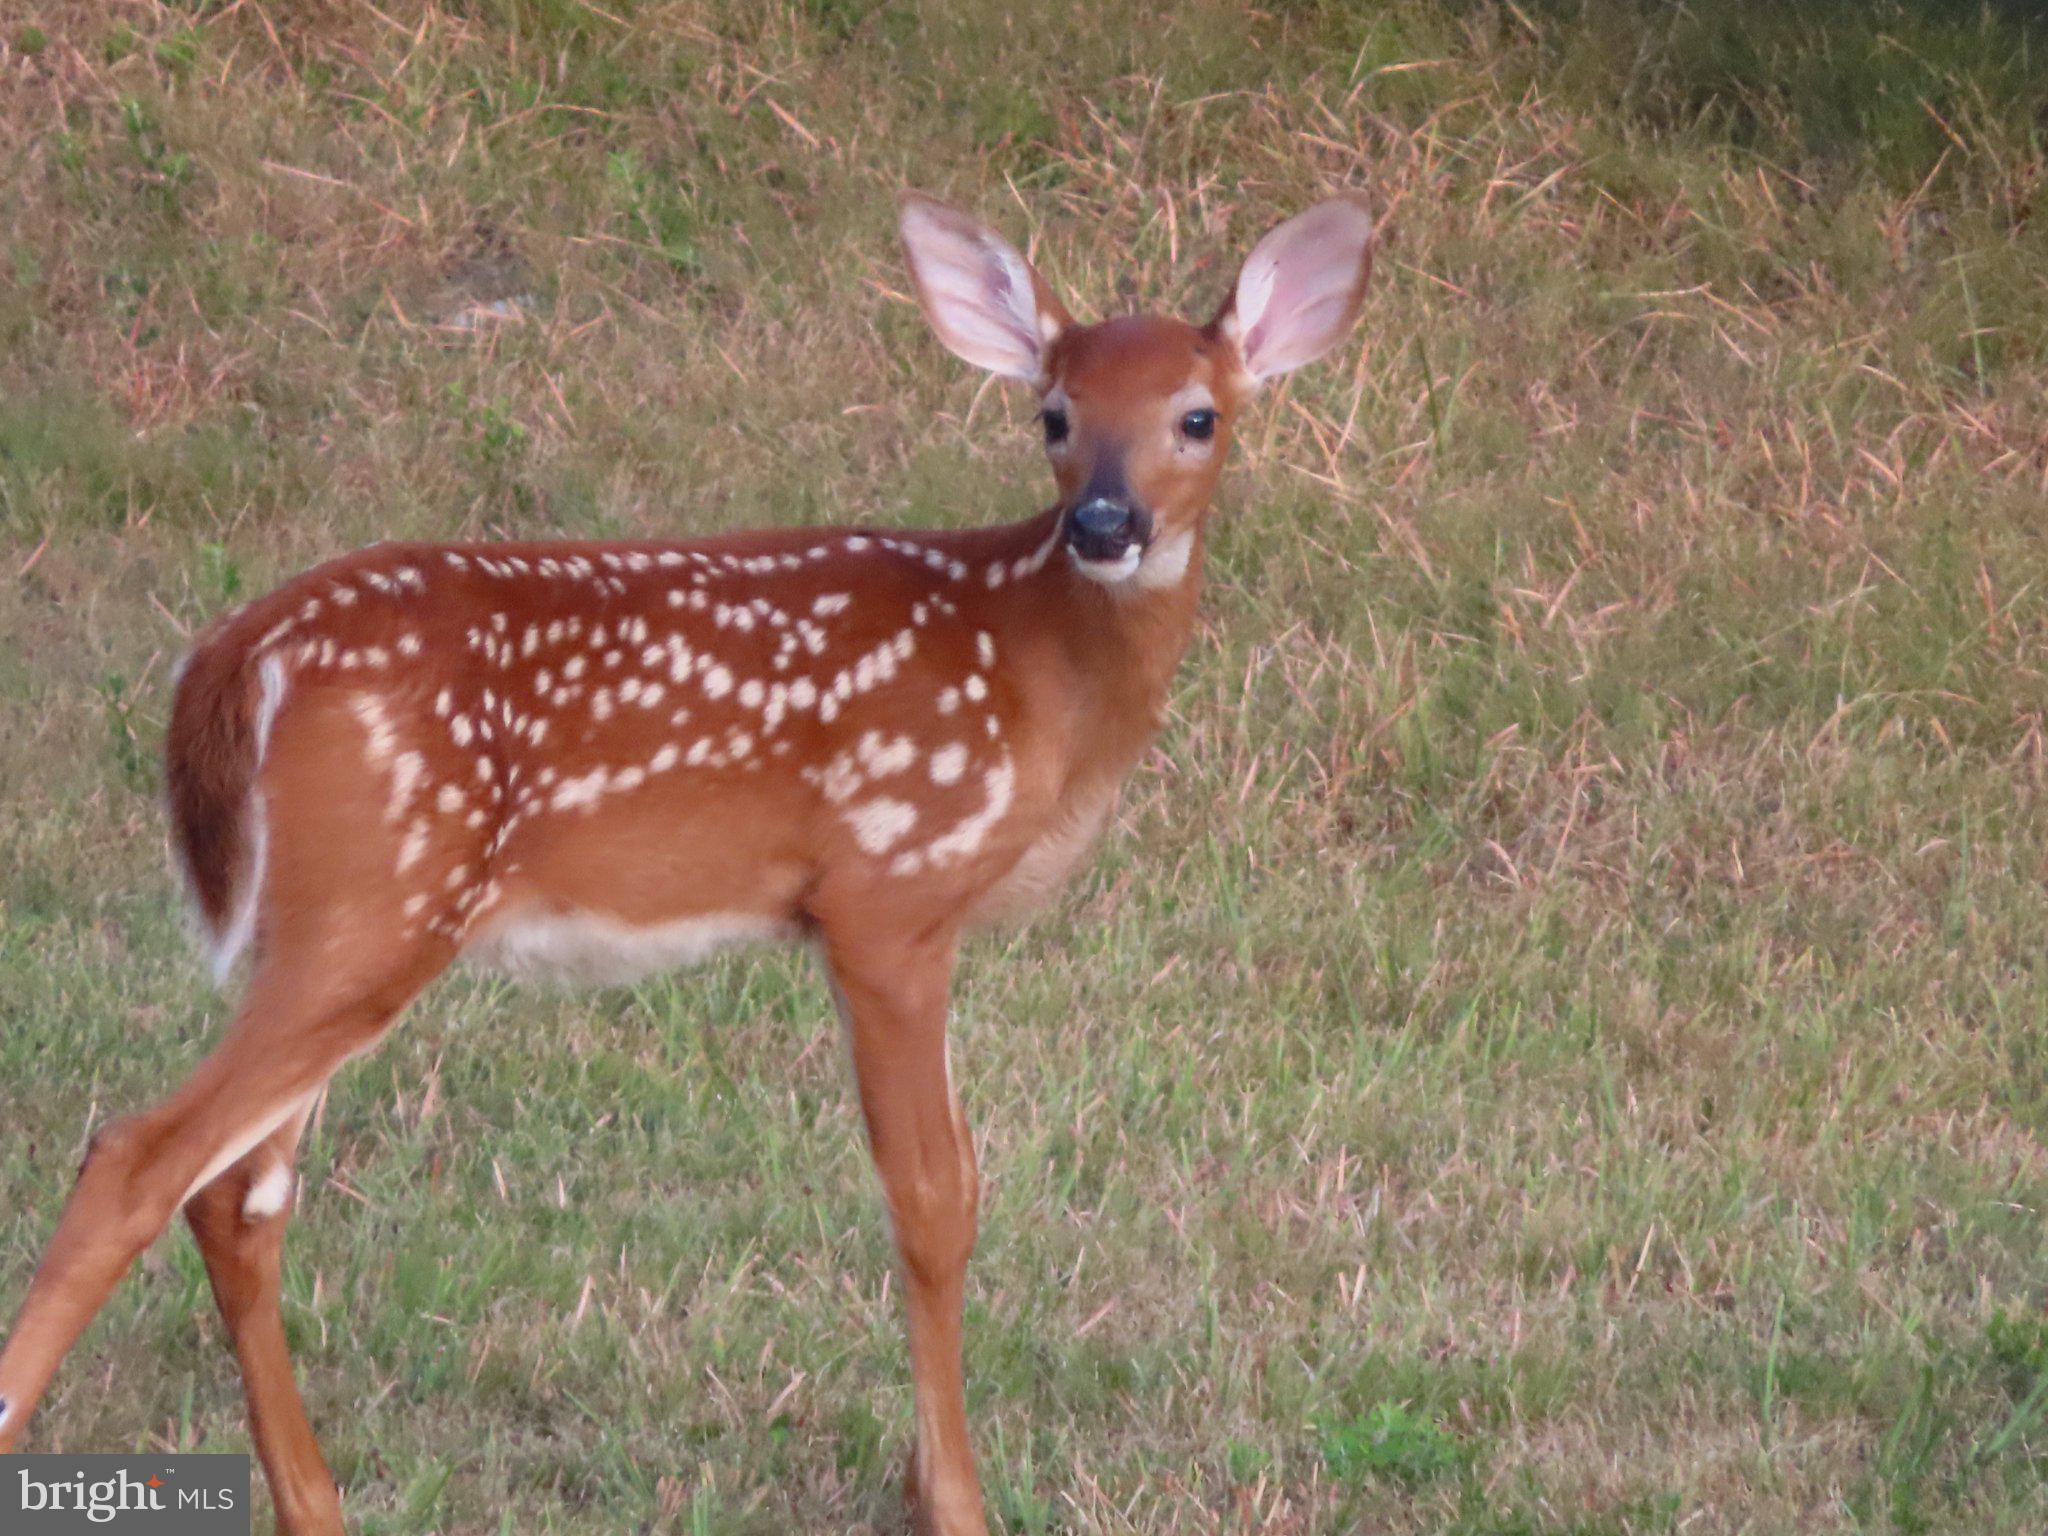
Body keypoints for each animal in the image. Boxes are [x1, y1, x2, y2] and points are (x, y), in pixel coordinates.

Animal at [0, 190, 1374, 1535]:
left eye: (1197, 416)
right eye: (1053, 414)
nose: (1102, 522)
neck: (1033, 672)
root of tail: (235, 659)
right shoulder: (887, 893)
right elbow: (933, 1200)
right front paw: (955, 1501)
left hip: (340, 921)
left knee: (240, 1195)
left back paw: (316, 1507)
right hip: (378, 898)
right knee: (139, 1157)